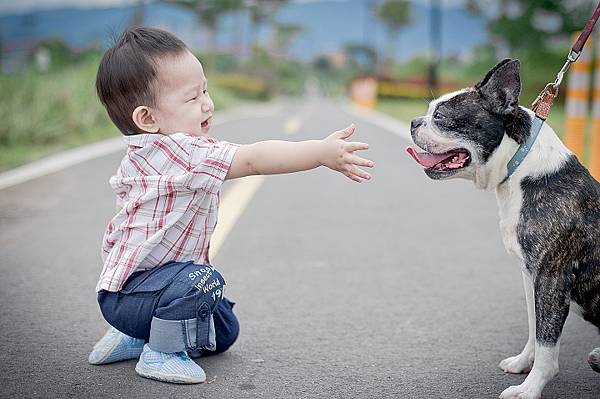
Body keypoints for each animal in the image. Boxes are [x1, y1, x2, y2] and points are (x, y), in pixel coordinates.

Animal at [408, 59, 600, 399]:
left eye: (440, 117)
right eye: (428, 112)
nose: (415, 122)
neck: (519, 166)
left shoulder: (551, 279)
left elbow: (547, 340)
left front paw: (531, 388)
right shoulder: (531, 277)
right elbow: (535, 329)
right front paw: (523, 364)